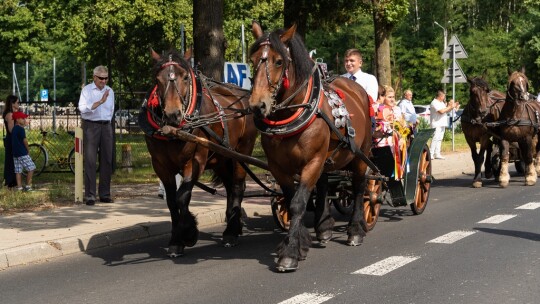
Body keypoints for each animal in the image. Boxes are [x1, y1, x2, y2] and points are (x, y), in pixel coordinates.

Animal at [139, 48, 258, 255]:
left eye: (186, 77)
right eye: (157, 79)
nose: (172, 115)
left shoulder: (195, 161)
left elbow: (182, 197)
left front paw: (188, 233)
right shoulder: (161, 166)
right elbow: (172, 201)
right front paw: (175, 240)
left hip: (242, 150)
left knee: (237, 186)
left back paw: (231, 232)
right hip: (221, 157)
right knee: (230, 187)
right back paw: (234, 224)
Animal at [249, 22, 376, 272]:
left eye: (279, 61)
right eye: (253, 59)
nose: (258, 106)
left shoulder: (312, 161)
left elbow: (298, 203)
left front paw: (290, 253)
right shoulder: (278, 167)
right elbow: (292, 201)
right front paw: (300, 242)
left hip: (360, 154)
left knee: (359, 188)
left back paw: (355, 230)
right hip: (327, 157)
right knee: (325, 184)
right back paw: (324, 227)